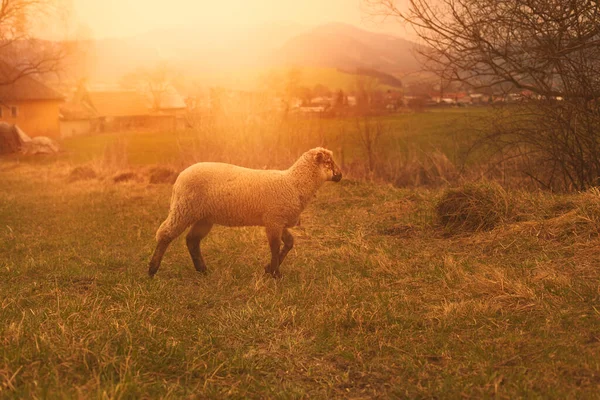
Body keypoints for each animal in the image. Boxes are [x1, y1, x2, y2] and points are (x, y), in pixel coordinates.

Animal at [149, 147, 342, 278]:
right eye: (328, 162)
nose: (340, 175)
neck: (294, 183)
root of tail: (179, 178)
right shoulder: (273, 220)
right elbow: (274, 246)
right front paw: (275, 273)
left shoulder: (277, 220)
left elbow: (289, 243)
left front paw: (269, 269)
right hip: (183, 209)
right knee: (165, 234)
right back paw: (152, 270)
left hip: (204, 217)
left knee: (192, 240)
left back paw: (202, 270)